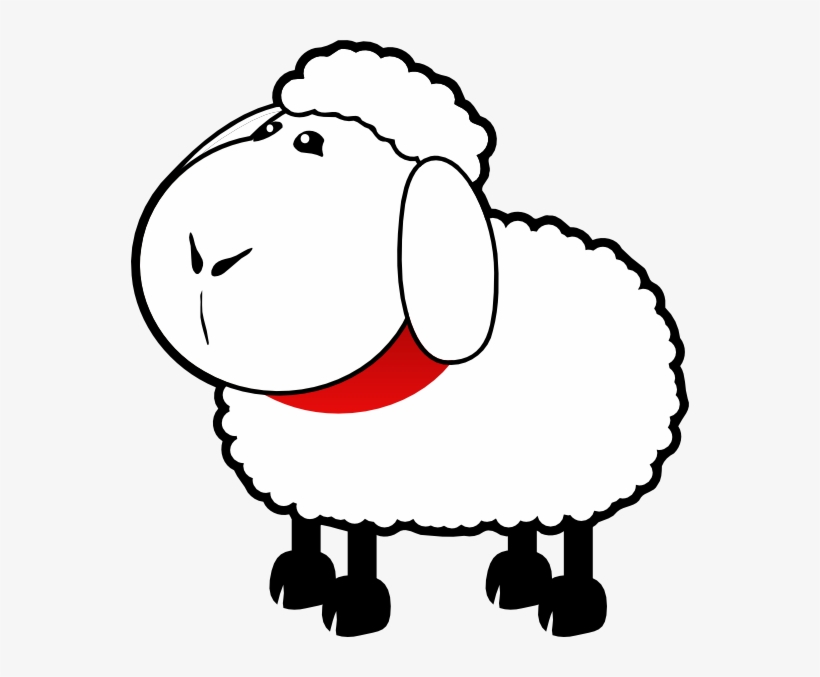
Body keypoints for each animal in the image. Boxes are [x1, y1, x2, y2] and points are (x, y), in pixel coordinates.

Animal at [132, 41, 688, 638]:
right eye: (269, 129)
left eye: (312, 143)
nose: (204, 257)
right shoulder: (308, 472)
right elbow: (306, 523)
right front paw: (301, 580)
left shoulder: (366, 480)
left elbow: (359, 542)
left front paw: (353, 605)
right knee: (524, 520)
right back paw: (516, 579)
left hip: (587, 459)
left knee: (576, 531)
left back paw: (569, 605)